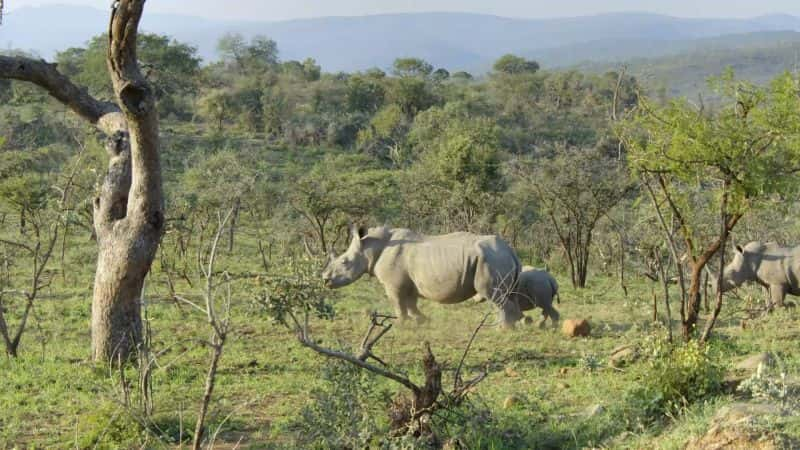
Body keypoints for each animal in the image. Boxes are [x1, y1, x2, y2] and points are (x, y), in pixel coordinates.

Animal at [322, 225, 520, 326]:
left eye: (344, 262)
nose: (325, 280)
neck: (370, 247)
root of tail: (510, 250)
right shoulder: (409, 282)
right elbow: (411, 303)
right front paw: (421, 320)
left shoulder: (393, 284)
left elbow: (398, 303)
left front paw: (401, 324)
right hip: (495, 258)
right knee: (504, 296)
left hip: (491, 259)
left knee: (493, 295)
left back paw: (501, 330)